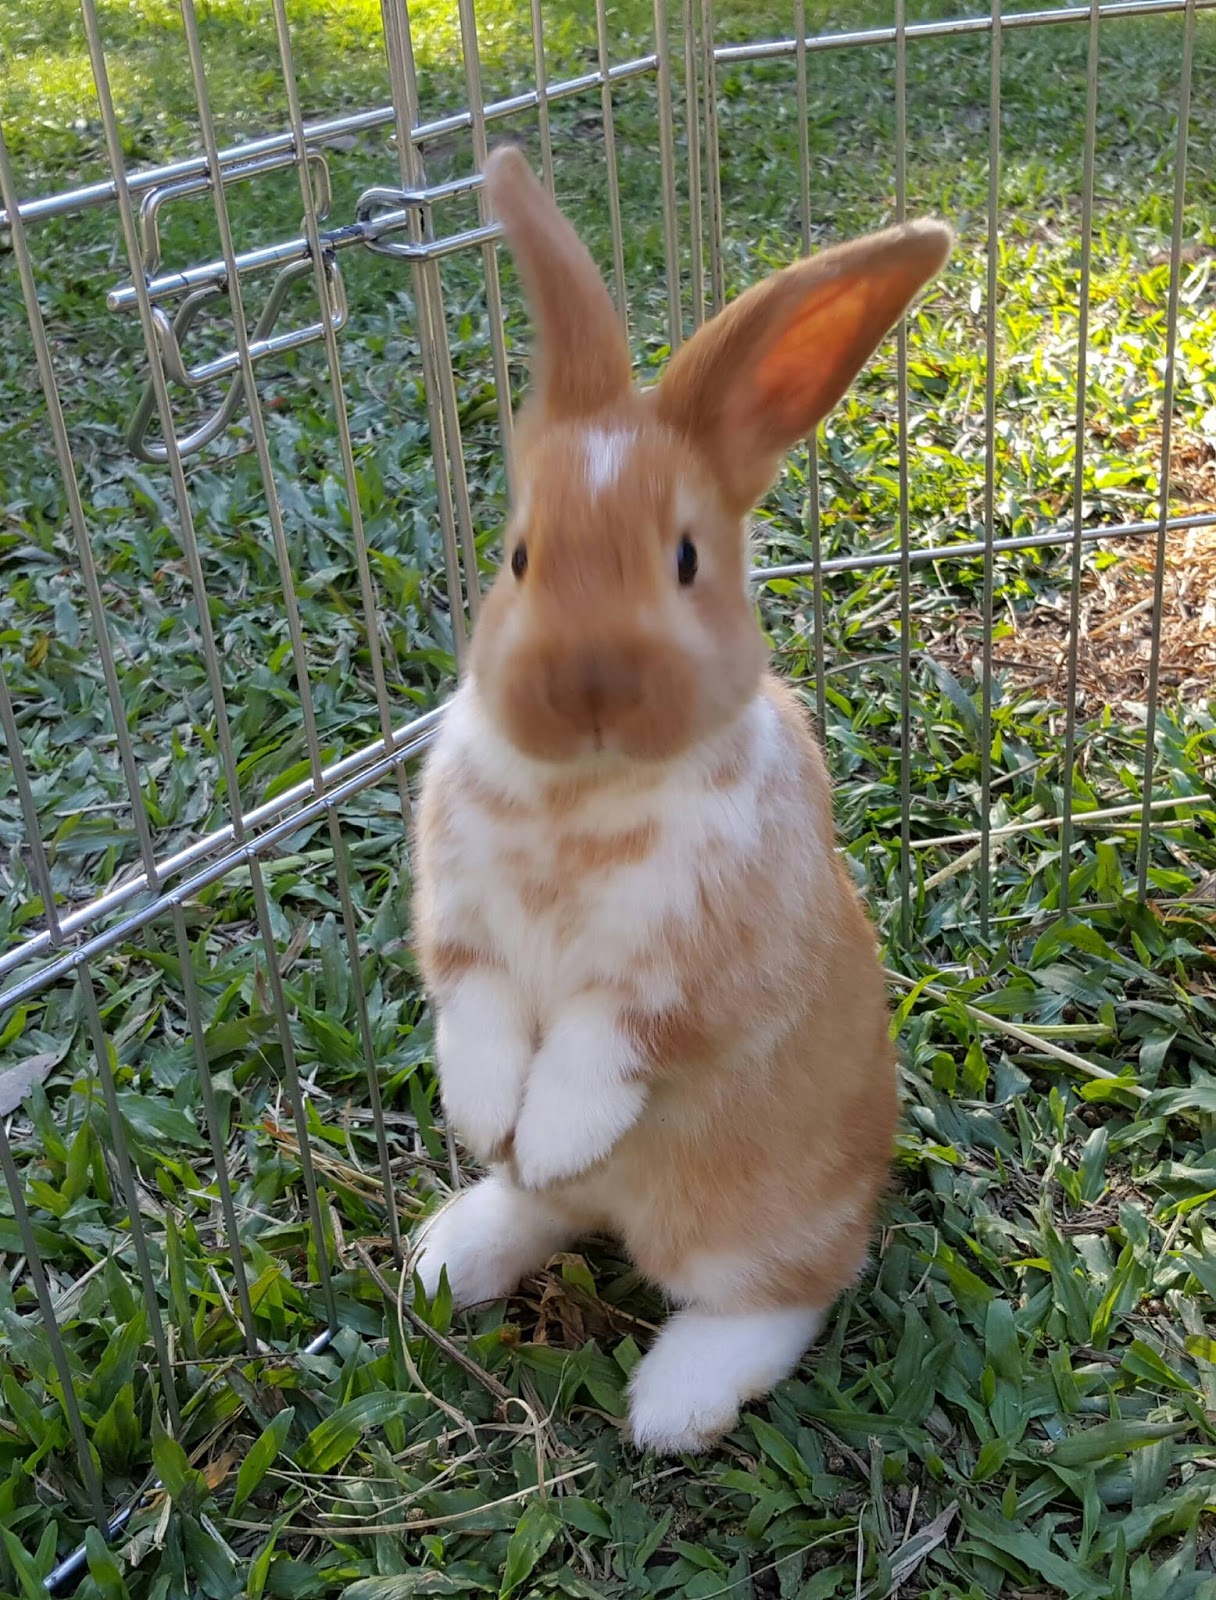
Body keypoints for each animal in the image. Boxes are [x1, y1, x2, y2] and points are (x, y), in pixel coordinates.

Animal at [410, 144, 952, 1455]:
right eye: (517, 555)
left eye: (687, 559)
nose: (590, 684)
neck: (585, 789)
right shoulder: (459, 932)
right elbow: (478, 1019)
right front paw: (487, 1119)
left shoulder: (690, 971)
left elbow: (609, 1043)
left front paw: (551, 1125)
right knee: (551, 1213)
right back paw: (455, 1247)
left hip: (756, 1220)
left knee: (782, 1292)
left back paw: (671, 1403)